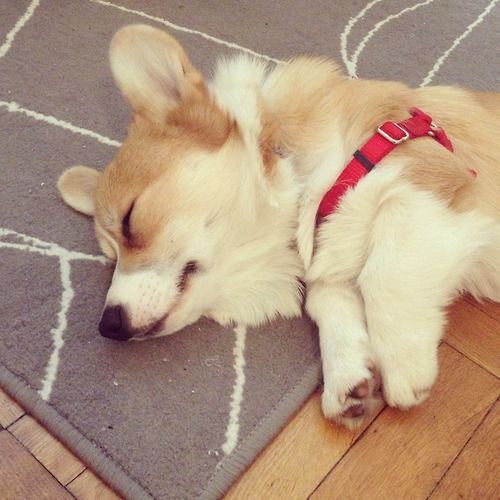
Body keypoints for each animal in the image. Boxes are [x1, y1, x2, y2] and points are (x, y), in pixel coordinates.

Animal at [56, 25, 500, 428]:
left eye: (130, 219)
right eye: (110, 258)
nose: (108, 325)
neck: (295, 168)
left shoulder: (426, 181)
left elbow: (385, 272)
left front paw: (404, 366)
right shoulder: (331, 261)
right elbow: (327, 301)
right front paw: (348, 380)